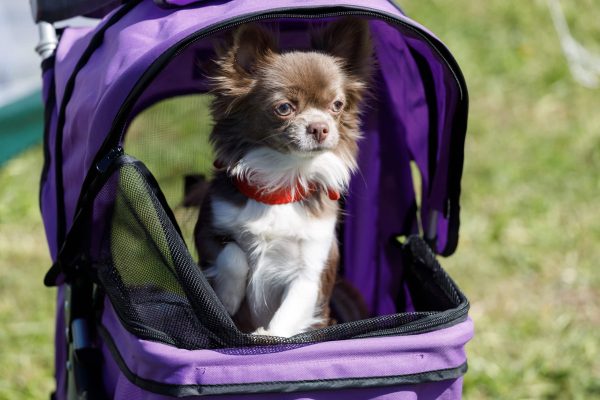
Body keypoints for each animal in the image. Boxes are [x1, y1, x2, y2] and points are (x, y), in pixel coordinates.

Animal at [195, 18, 372, 338]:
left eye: (337, 106)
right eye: (284, 108)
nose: (320, 127)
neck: (282, 182)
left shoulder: (310, 270)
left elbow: (290, 309)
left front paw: (266, 338)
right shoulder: (208, 232)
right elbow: (233, 255)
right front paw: (227, 299)